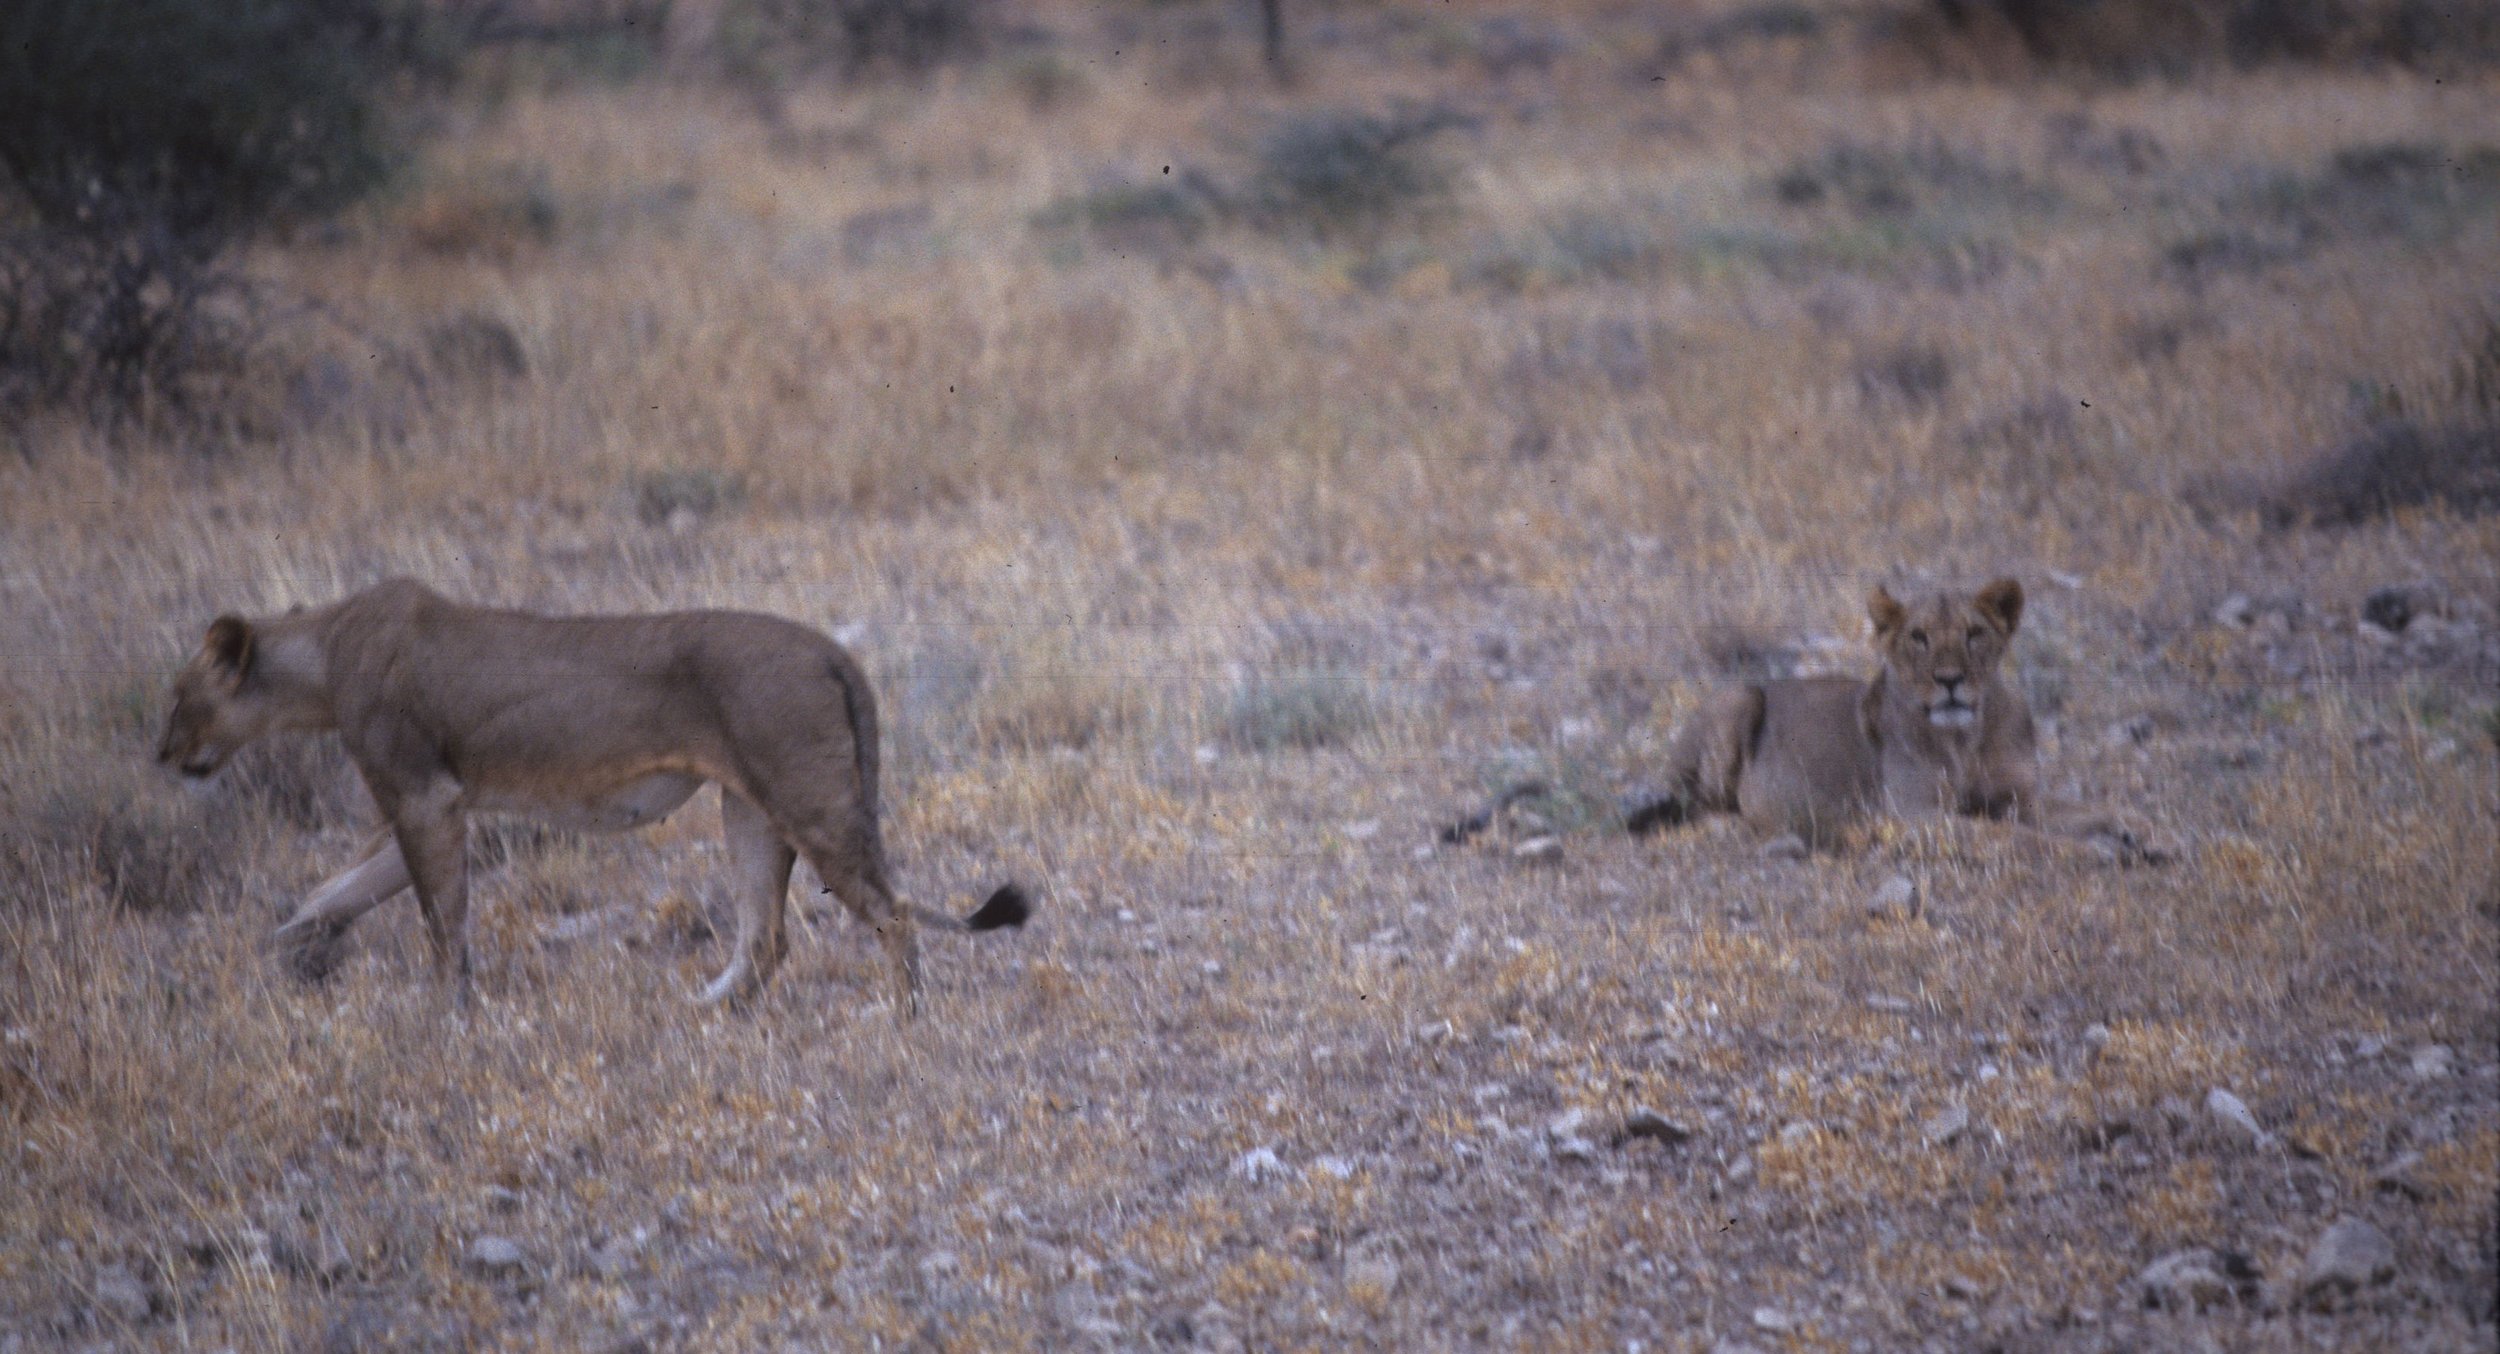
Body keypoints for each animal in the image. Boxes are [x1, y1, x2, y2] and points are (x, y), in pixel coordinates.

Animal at [157, 578, 1030, 1013]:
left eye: (178, 697)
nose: (161, 754)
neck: (326, 651)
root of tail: (830, 648)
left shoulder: (424, 796)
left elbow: (442, 922)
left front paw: (444, 1010)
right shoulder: (438, 804)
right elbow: (339, 891)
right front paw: (282, 953)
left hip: (808, 801)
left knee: (893, 911)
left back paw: (904, 1016)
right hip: (750, 806)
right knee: (767, 935)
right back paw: (702, 1008)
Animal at [1626, 578, 2162, 860]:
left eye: (1973, 634)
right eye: (1918, 638)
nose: (1949, 680)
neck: (1965, 738)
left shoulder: (2017, 799)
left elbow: (2092, 809)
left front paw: (2145, 833)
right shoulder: (1916, 816)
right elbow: (2014, 837)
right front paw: (2097, 851)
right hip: (1739, 696)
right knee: (1704, 812)